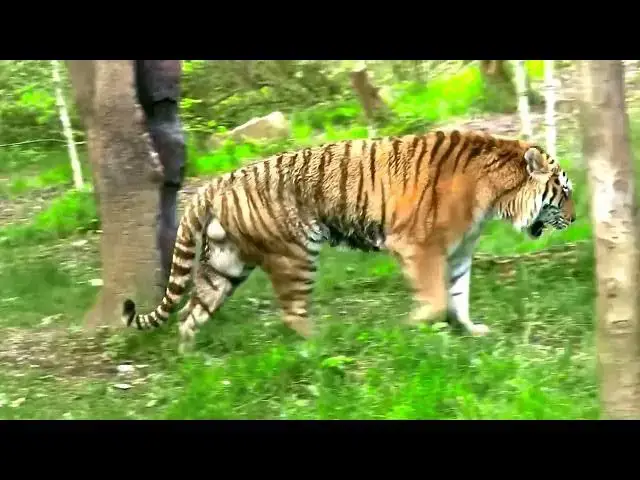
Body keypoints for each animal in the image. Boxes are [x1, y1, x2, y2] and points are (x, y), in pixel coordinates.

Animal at [121, 129, 576, 353]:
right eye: (565, 192)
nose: (576, 219)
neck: (496, 196)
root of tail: (214, 184)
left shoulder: (459, 253)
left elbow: (459, 297)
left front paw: (471, 331)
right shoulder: (419, 247)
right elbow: (436, 299)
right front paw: (410, 327)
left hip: (225, 265)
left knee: (190, 314)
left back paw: (195, 365)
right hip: (296, 254)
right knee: (292, 313)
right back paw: (323, 344)